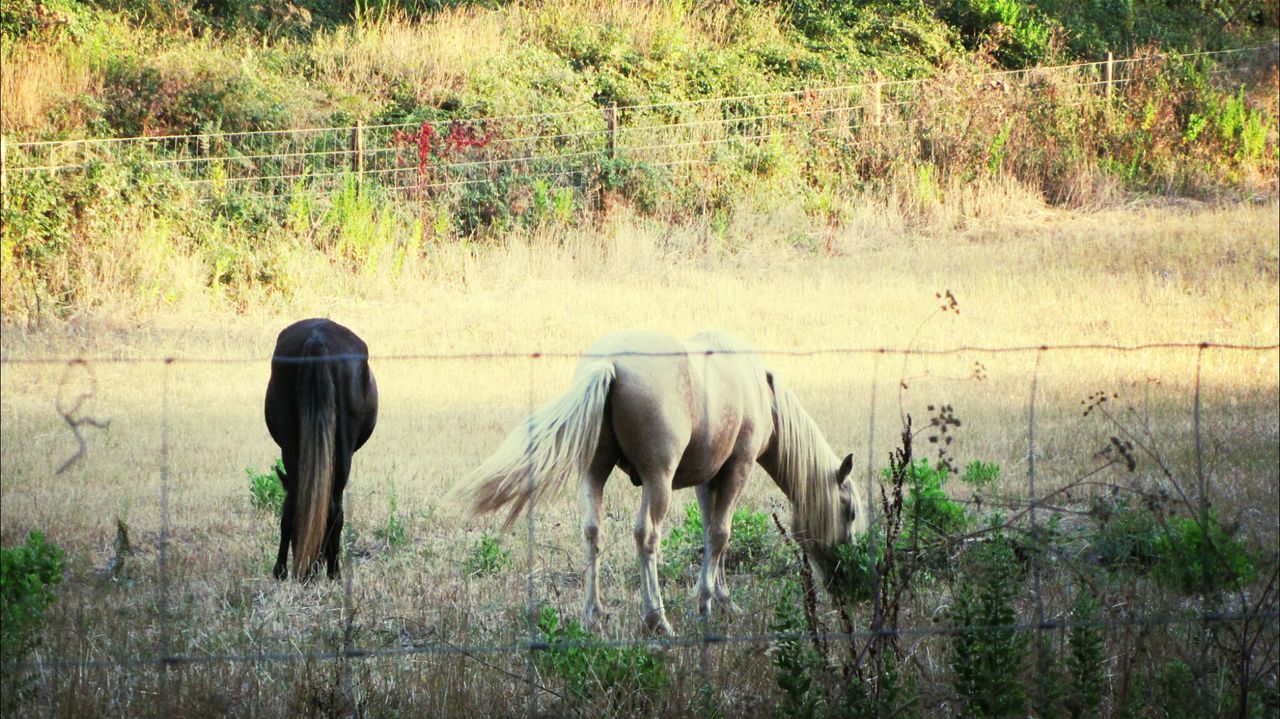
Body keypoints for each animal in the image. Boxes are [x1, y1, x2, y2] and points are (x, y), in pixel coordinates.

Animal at [263, 318, 373, 583]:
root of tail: (317, 338)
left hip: (292, 444)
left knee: (300, 503)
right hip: (342, 452)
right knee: (332, 508)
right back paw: (331, 572)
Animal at [455, 327, 865, 629]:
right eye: (850, 513)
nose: (847, 580)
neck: (760, 390)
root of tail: (610, 364)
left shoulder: (707, 478)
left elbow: (711, 535)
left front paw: (720, 598)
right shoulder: (738, 468)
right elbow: (721, 534)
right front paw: (706, 606)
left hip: (594, 472)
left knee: (592, 533)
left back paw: (593, 616)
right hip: (658, 480)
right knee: (647, 537)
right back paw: (656, 619)